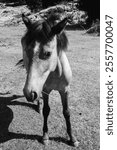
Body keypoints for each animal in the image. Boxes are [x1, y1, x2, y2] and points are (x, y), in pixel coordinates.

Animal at [20, 13, 78, 147]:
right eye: (25, 49)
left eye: (47, 53)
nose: (29, 93)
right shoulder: (45, 90)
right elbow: (47, 110)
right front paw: (45, 136)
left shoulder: (65, 91)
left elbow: (67, 112)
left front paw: (72, 138)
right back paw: (38, 105)